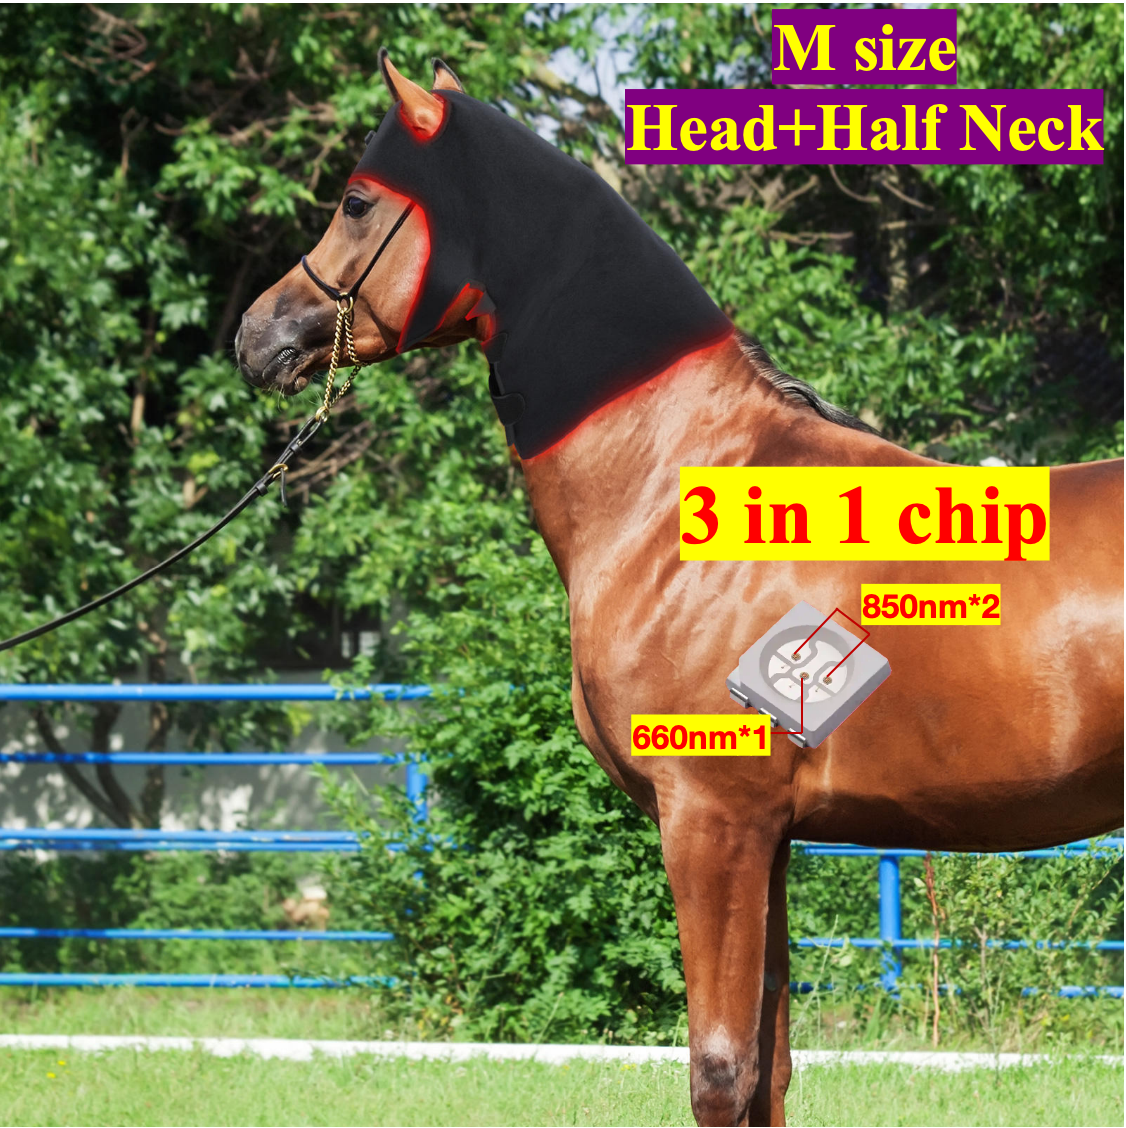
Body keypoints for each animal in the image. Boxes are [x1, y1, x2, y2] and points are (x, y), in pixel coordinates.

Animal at [234, 54, 1125, 1127]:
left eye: (359, 202)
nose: (255, 336)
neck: (674, 484)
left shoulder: (710, 820)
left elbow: (721, 1070)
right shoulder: (768, 836)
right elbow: (771, 1065)